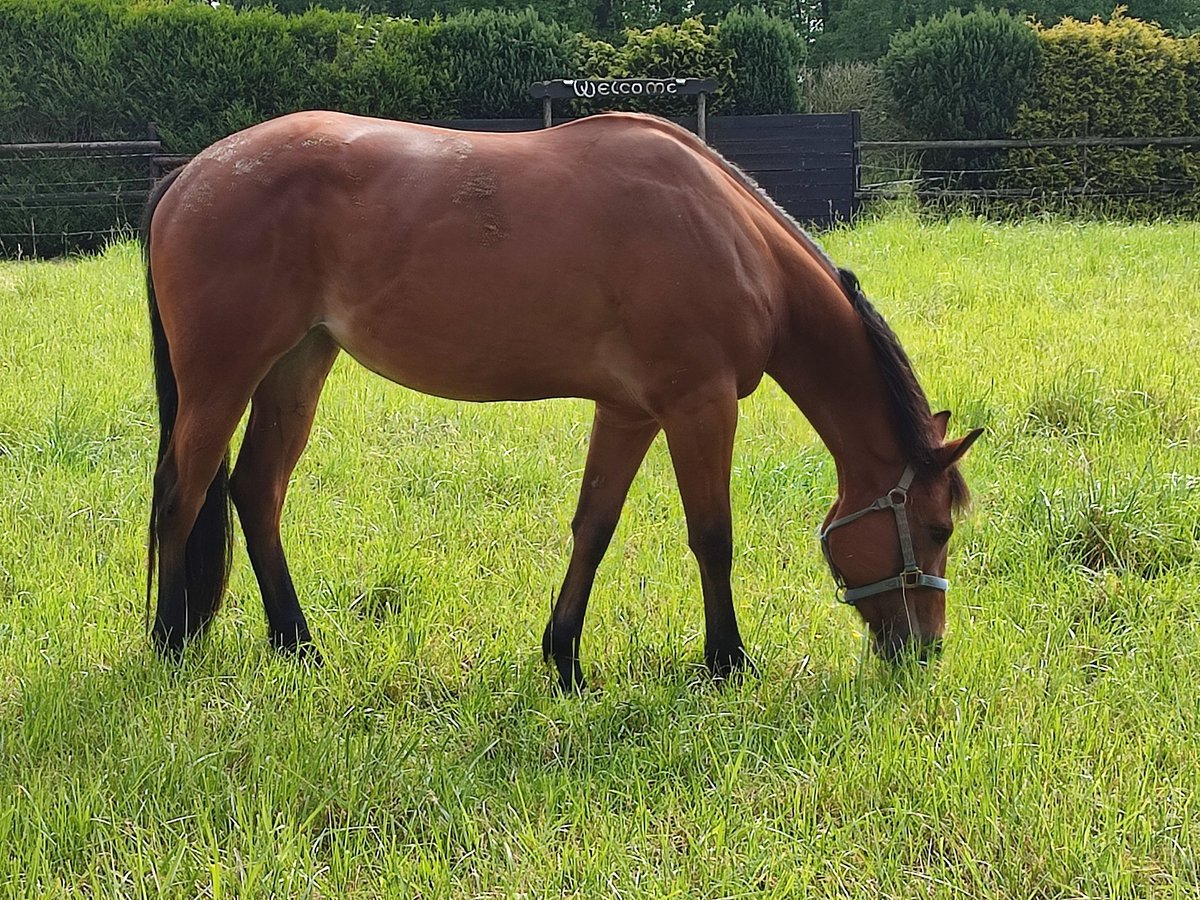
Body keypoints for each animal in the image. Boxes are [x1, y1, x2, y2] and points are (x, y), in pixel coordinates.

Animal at [142, 112, 984, 691]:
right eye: (937, 529)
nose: (926, 650)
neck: (729, 234)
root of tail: (191, 176)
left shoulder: (630, 412)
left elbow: (594, 528)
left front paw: (565, 660)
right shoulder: (699, 406)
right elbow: (713, 537)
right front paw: (727, 662)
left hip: (296, 366)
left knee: (256, 491)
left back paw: (299, 646)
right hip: (222, 378)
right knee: (182, 496)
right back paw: (169, 643)